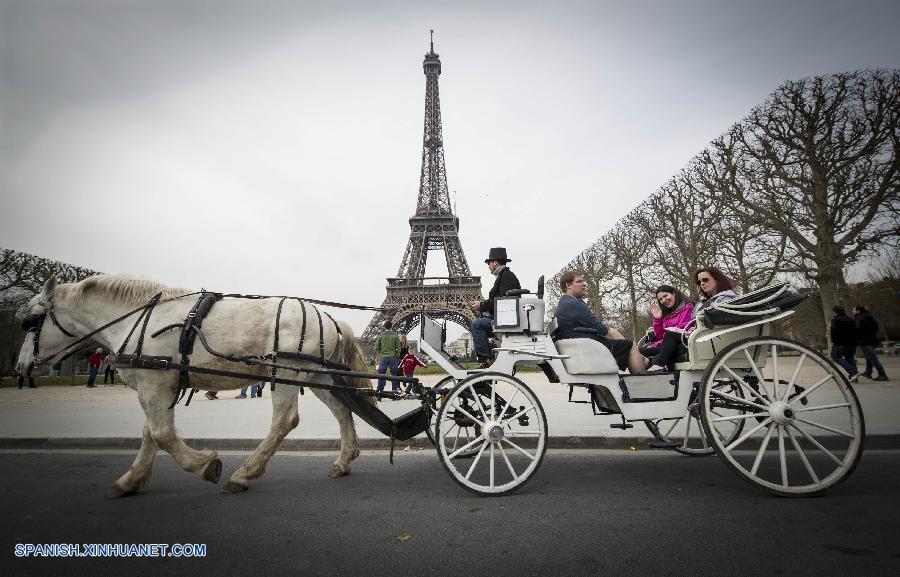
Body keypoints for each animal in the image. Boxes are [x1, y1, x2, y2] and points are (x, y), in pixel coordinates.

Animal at [14, 274, 372, 496]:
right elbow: (150, 433)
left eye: (31, 322)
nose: (20, 367)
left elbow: (162, 434)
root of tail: (331, 318)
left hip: (287, 375)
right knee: (342, 411)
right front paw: (131, 480)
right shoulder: (158, 385)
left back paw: (244, 474)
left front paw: (205, 466)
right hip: (317, 375)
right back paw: (343, 461)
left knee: (285, 421)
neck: (139, 318)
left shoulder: (155, 384)